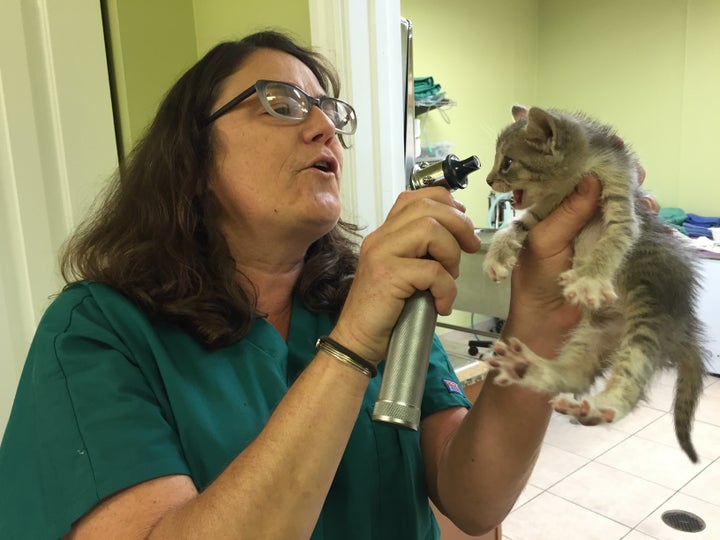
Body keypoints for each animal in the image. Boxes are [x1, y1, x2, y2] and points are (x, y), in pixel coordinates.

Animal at [480, 106, 704, 464]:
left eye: (508, 162)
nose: (488, 179)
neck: (572, 182)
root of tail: (687, 329)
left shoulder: (619, 189)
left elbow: (616, 236)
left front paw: (589, 278)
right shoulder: (542, 213)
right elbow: (513, 226)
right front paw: (498, 256)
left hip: (650, 308)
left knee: (632, 375)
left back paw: (604, 405)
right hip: (594, 332)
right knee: (577, 373)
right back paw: (527, 367)